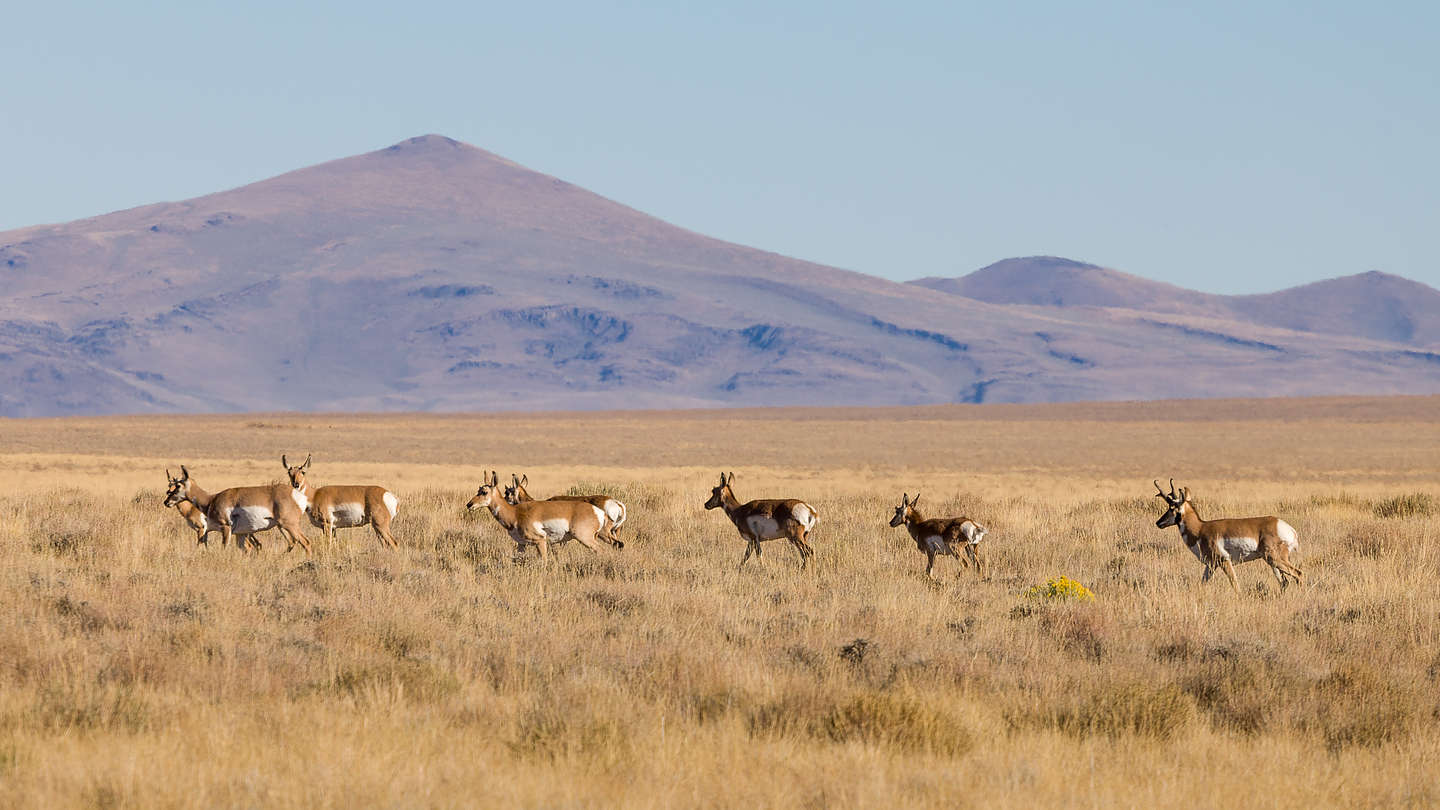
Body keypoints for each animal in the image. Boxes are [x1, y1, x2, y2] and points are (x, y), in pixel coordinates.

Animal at [164, 458, 313, 550]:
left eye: (177, 486)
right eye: (170, 487)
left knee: (306, 542)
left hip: (289, 525)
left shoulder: (224, 528)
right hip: (282, 527)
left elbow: (223, 547)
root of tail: (297, 494)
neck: (212, 499)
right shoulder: (240, 534)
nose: (166, 502)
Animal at [466, 466, 607, 562]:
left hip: (584, 538)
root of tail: (597, 511)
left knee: (601, 550)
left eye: (484, 492)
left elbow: (544, 561)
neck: (515, 513)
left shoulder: (540, 541)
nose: (469, 505)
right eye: (478, 490)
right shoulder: (521, 544)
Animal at [1152, 475, 1301, 590]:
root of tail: (1288, 529)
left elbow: (1235, 585)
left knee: (1298, 574)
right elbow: (1202, 583)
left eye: (1172, 507)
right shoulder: (1211, 565)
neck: (1201, 528)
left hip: (1274, 558)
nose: (1158, 523)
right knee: (1285, 582)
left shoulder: (1224, 560)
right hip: (1273, 562)